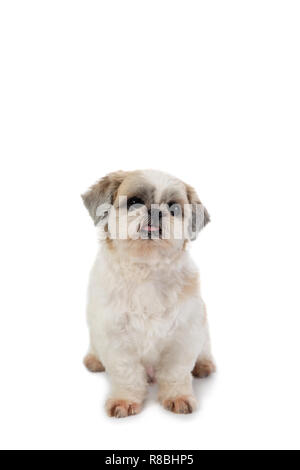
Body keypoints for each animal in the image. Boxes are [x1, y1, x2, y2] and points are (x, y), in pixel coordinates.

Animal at [81, 169, 214, 418]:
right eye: (134, 202)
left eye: (173, 208)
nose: (155, 211)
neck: (146, 270)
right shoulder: (115, 336)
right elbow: (126, 373)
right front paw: (124, 400)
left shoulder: (184, 335)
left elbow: (175, 372)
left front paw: (178, 397)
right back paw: (94, 360)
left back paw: (203, 365)